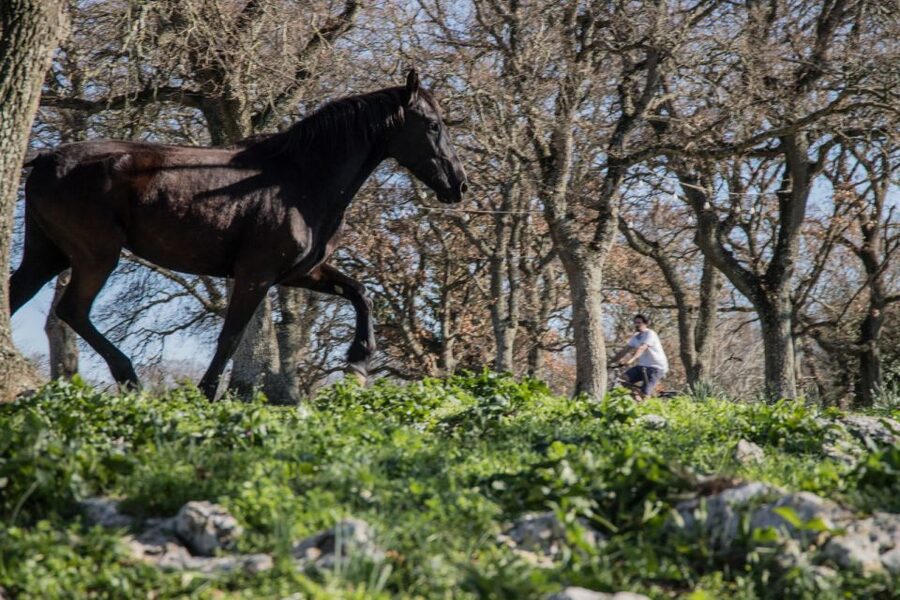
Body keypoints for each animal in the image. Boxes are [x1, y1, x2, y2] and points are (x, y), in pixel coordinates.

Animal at [10, 70, 467, 400]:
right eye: (432, 125)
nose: (458, 184)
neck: (299, 180)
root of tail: (46, 158)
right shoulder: (255, 275)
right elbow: (230, 337)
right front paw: (207, 393)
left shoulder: (301, 273)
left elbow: (360, 292)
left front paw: (357, 363)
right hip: (97, 255)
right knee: (73, 310)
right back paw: (130, 378)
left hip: (47, 254)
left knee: (18, 297)